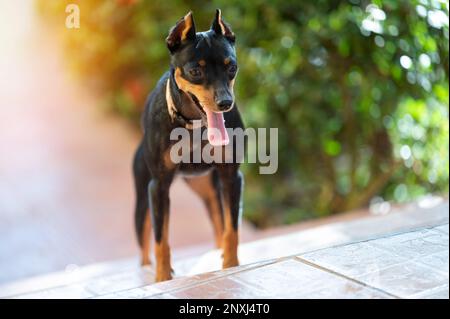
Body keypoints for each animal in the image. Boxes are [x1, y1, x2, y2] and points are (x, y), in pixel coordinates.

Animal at [133, 9, 244, 282]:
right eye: (195, 71)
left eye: (232, 67)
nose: (225, 102)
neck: (194, 126)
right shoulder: (158, 186)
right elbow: (161, 239)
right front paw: (162, 279)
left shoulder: (231, 176)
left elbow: (232, 228)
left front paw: (231, 266)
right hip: (141, 201)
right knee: (144, 244)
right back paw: (145, 270)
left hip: (210, 188)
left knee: (219, 222)